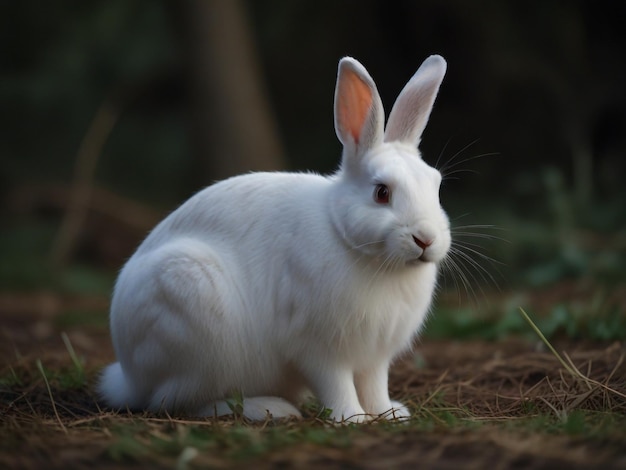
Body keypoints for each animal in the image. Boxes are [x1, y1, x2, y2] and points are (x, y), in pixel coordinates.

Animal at [97, 54, 448, 422]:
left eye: (436, 185)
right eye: (381, 193)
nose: (425, 239)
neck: (351, 241)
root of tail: (129, 378)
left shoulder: (374, 358)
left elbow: (375, 386)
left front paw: (389, 414)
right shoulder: (318, 348)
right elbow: (337, 385)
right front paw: (351, 418)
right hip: (195, 322)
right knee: (181, 401)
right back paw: (270, 408)